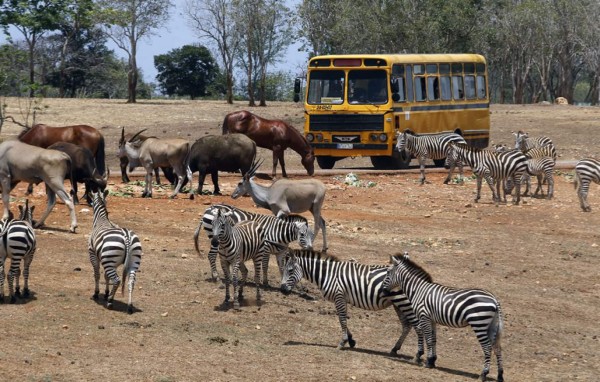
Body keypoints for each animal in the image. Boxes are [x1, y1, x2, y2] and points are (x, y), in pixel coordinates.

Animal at [278, 249, 420, 354]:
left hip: (403, 301)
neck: (327, 274)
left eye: (290, 270)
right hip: (397, 303)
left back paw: (419, 354)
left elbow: (342, 319)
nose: (282, 290)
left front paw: (343, 342)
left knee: (416, 324)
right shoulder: (341, 298)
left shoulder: (339, 296)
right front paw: (351, 340)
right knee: (407, 325)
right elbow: (342, 318)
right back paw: (395, 349)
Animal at [382, 254, 504, 382]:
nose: (383, 290)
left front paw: (427, 361)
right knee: (497, 347)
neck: (418, 290)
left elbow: (428, 338)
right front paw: (432, 361)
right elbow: (433, 339)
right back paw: (500, 375)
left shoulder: (424, 316)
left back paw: (483, 374)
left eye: (388, 272)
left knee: (487, 347)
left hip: (479, 323)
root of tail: (494, 299)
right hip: (492, 325)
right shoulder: (432, 319)